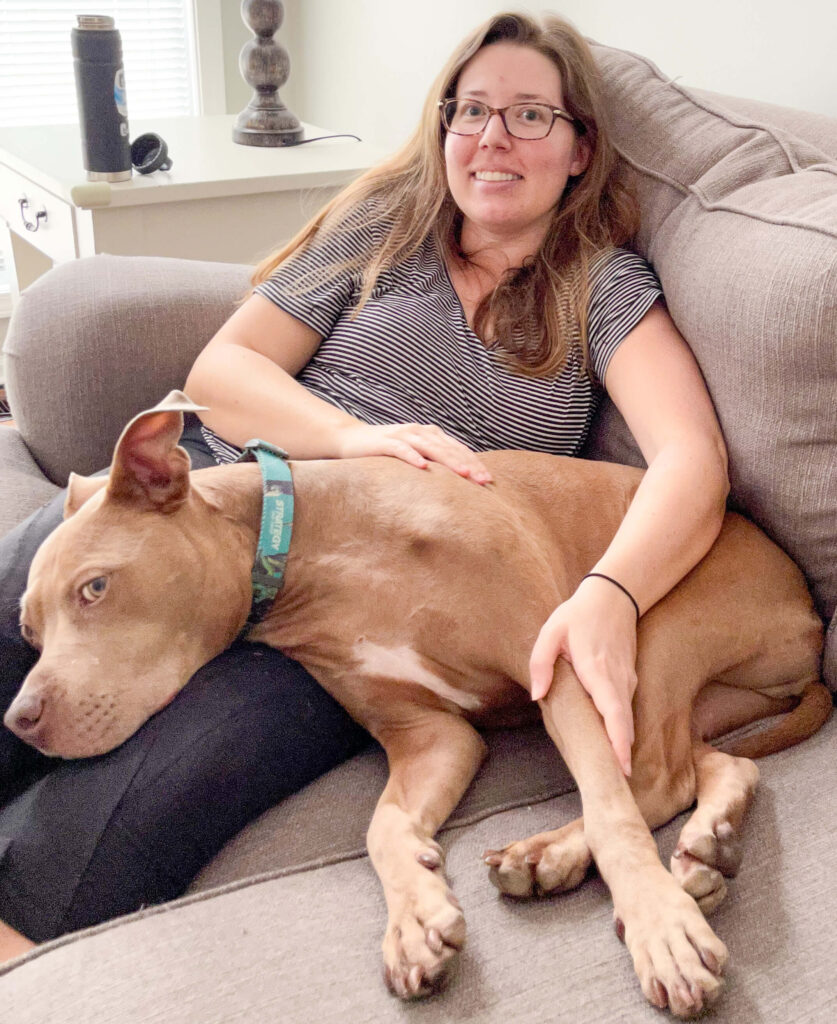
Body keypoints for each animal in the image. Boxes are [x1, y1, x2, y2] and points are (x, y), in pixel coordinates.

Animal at [6, 391, 827, 1015]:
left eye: (95, 588)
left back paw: (566, 858)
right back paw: (699, 846)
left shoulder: (557, 663)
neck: (309, 552)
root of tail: (812, 621)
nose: (20, 720)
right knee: (710, 766)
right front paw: (414, 920)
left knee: (648, 780)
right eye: (28, 631)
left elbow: (610, 809)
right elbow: (383, 827)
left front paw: (660, 931)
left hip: (645, 630)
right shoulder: (430, 736)